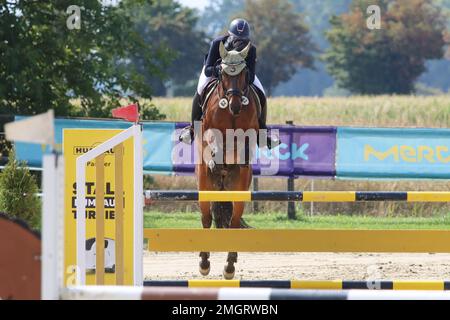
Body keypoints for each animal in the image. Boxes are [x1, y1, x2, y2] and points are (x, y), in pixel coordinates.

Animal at [193, 41, 260, 278]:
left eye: (244, 74)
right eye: (222, 73)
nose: (235, 105)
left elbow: (243, 144)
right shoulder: (208, 129)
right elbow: (212, 140)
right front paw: (215, 158)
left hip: (238, 190)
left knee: (233, 221)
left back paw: (230, 265)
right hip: (205, 186)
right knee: (206, 219)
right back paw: (204, 263)